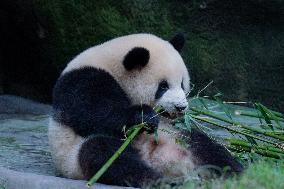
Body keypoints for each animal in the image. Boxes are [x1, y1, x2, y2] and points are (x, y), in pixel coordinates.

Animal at [47, 33, 243, 187]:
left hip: (177, 137)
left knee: (205, 146)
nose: (181, 107)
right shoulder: (82, 78)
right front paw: (144, 117)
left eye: (182, 84)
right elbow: (91, 111)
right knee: (106, 154)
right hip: (73, 158)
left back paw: (237, 174)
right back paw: (161, 181)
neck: (112, 64)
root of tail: (164, 162)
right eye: (163, 86)